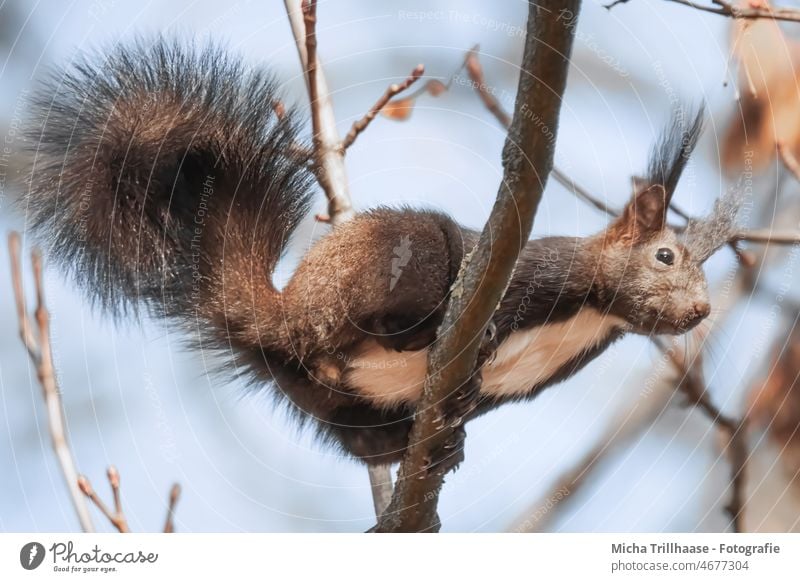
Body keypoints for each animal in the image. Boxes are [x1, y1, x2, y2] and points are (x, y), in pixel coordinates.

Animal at [23, 40, 736, 470]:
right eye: (666, 257)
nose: (701, 312)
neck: (595, 314)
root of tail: (282, 317)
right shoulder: (529, 273)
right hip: (404, 256)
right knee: (385, 315)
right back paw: (414, 334)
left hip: (320, 391)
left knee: (359, 434)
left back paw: (414, 443)